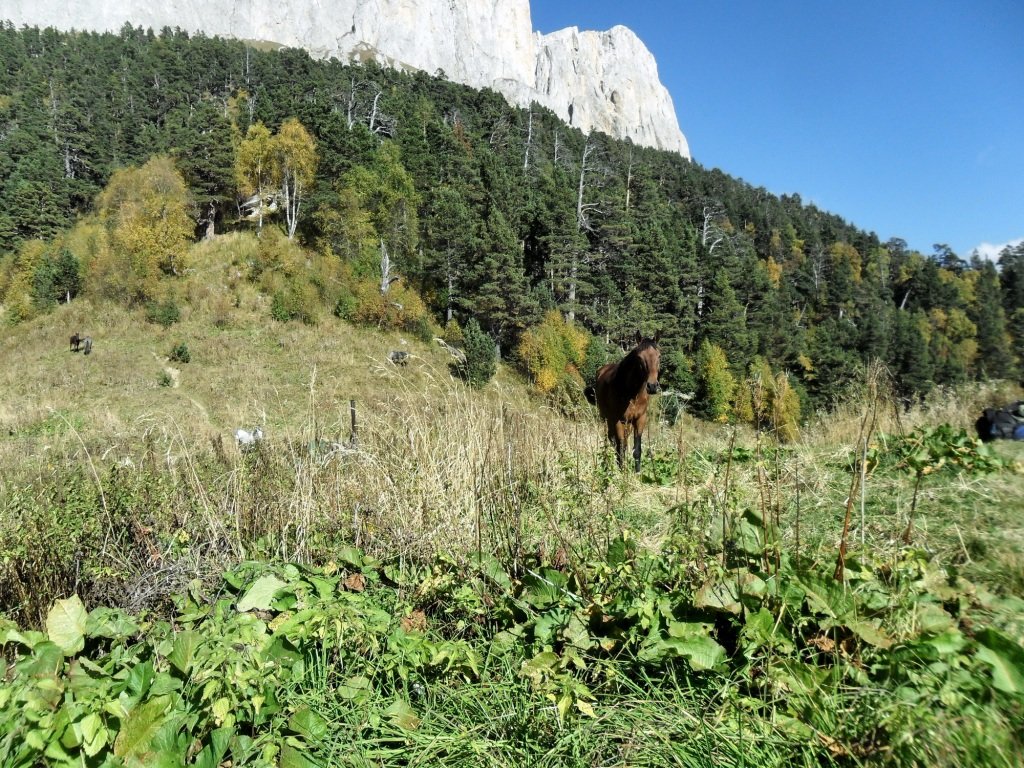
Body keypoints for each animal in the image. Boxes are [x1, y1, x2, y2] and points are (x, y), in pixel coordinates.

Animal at [585, 335, 663, 473]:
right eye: (639, 357)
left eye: (659, 356)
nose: (652, 386)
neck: (632, 393)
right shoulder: (618, 421)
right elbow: (620, 449)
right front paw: (621, 473)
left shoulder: (640, 419)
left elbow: (637, 450)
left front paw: (637, 473)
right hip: (607, 419)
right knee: (611, 441)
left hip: (628, 424)